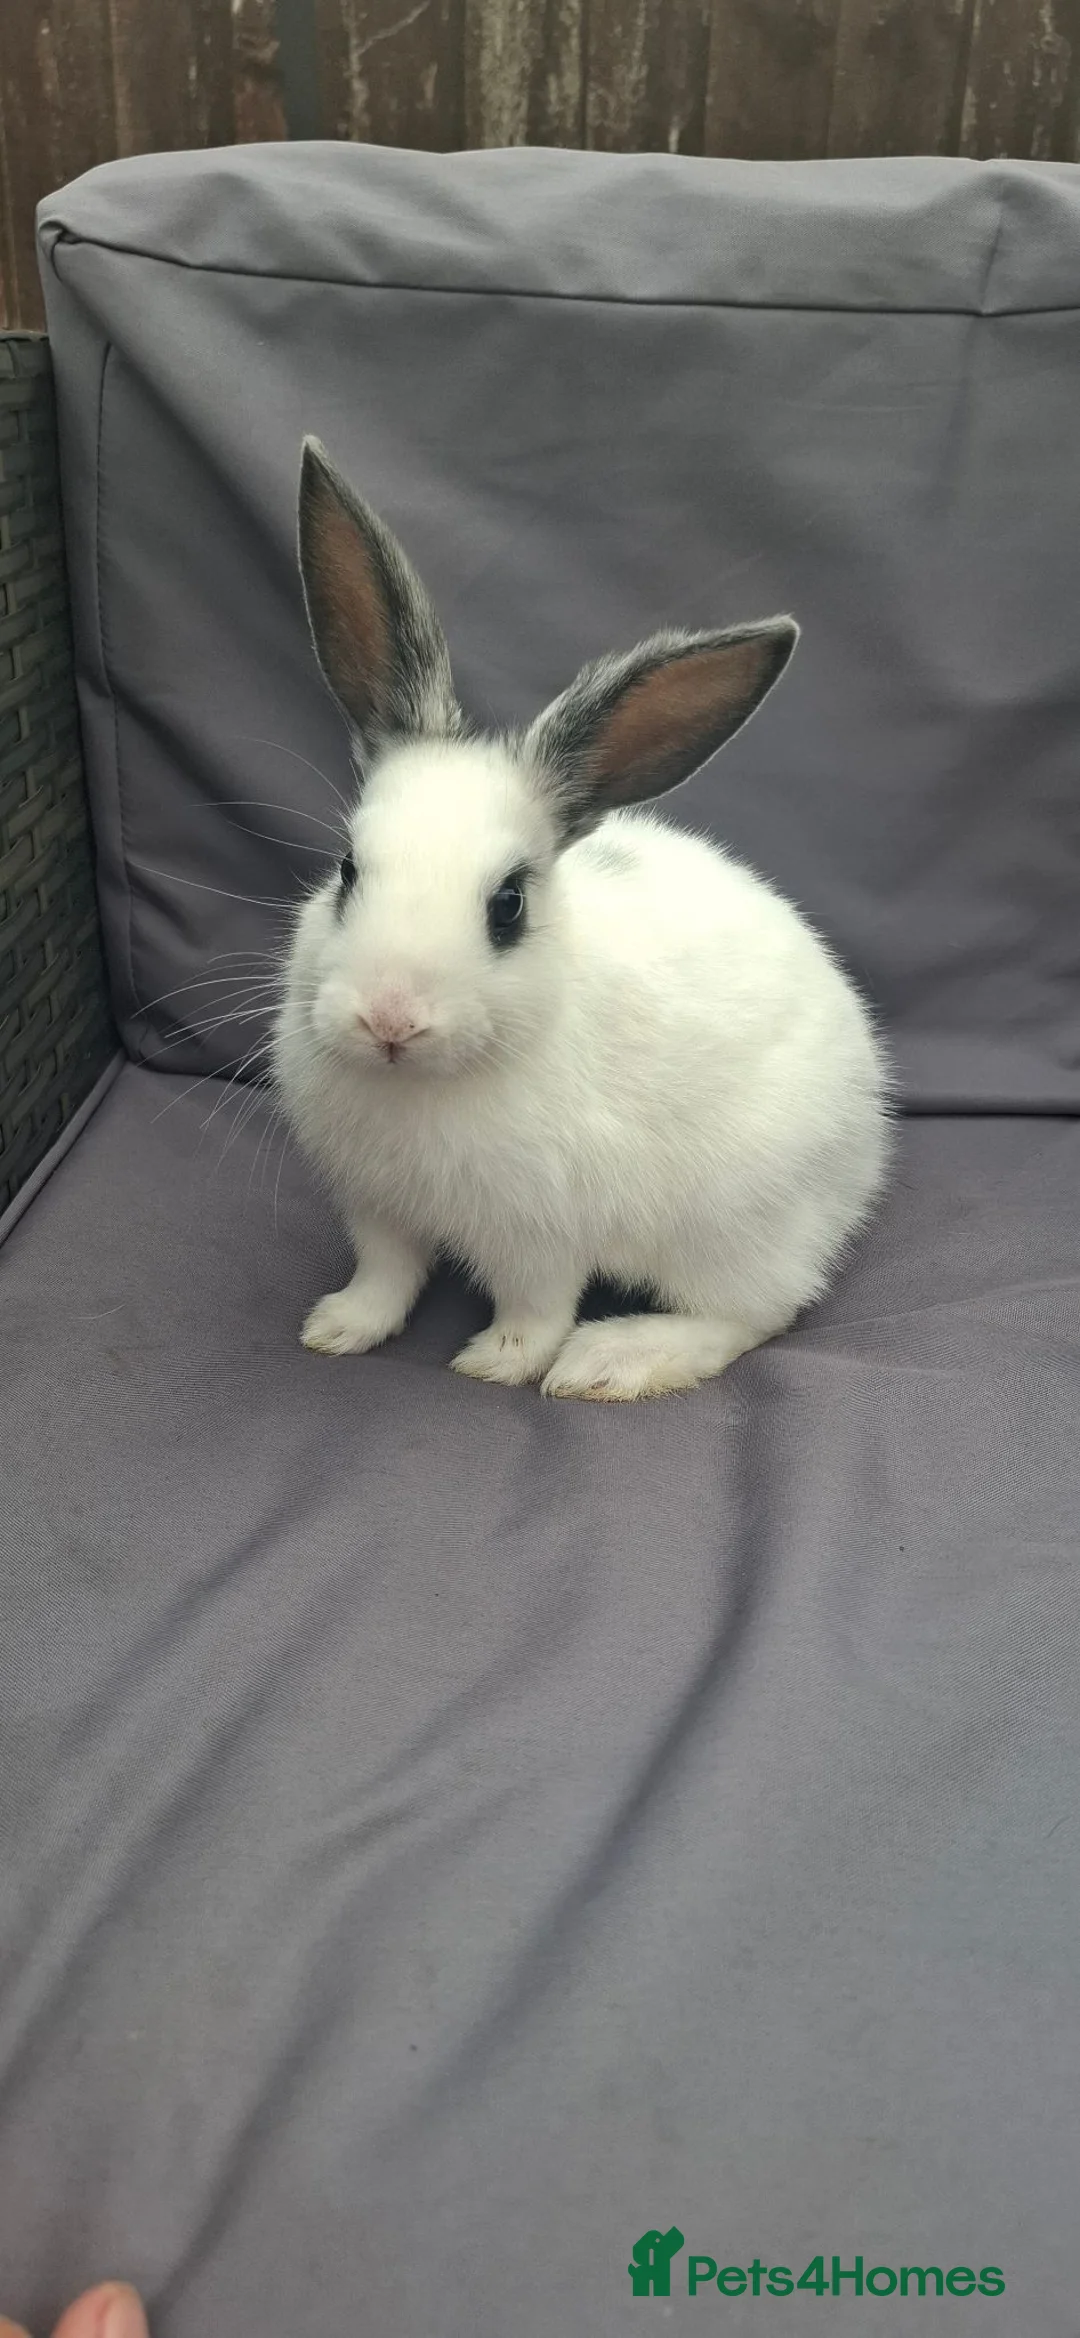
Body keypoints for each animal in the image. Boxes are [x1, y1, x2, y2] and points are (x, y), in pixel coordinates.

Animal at [272, 437, 889, 1402]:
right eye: (346, 870)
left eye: (509, 905)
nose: (389, 1020)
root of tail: (866, 1151)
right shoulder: (378, 1210)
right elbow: (386, 1276)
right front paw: (336, 1330)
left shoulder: (539, 1234)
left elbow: (537, 1308)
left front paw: (498, 1362)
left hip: (728, 1227)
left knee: (754, 1315)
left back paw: (614, 1360)